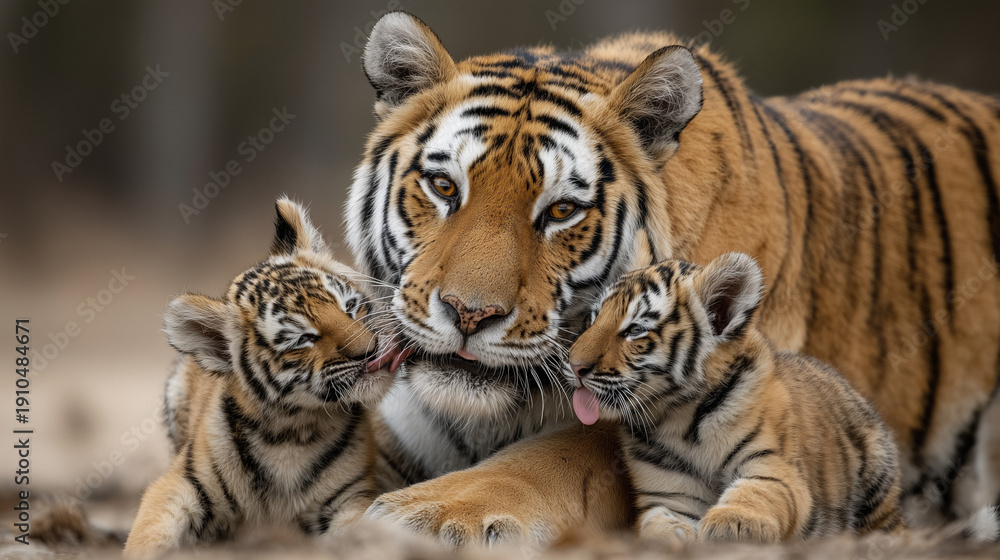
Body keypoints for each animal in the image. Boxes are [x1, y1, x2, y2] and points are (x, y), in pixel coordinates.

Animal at [124, 198, 394, 557]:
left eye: (350, 307)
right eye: (302, 338)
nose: (371, 351)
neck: (291, 433)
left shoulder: (352, 496)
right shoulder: (177, 486)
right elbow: (148, 538)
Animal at [568, 253, 907, 544]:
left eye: (635, 329)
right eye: (593, 318)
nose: (573, 365)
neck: (681, 418)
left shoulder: (773, 465)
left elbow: (755, 491)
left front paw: (734, 523)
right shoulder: (671, 495)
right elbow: (659, 524)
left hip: (877, 465)